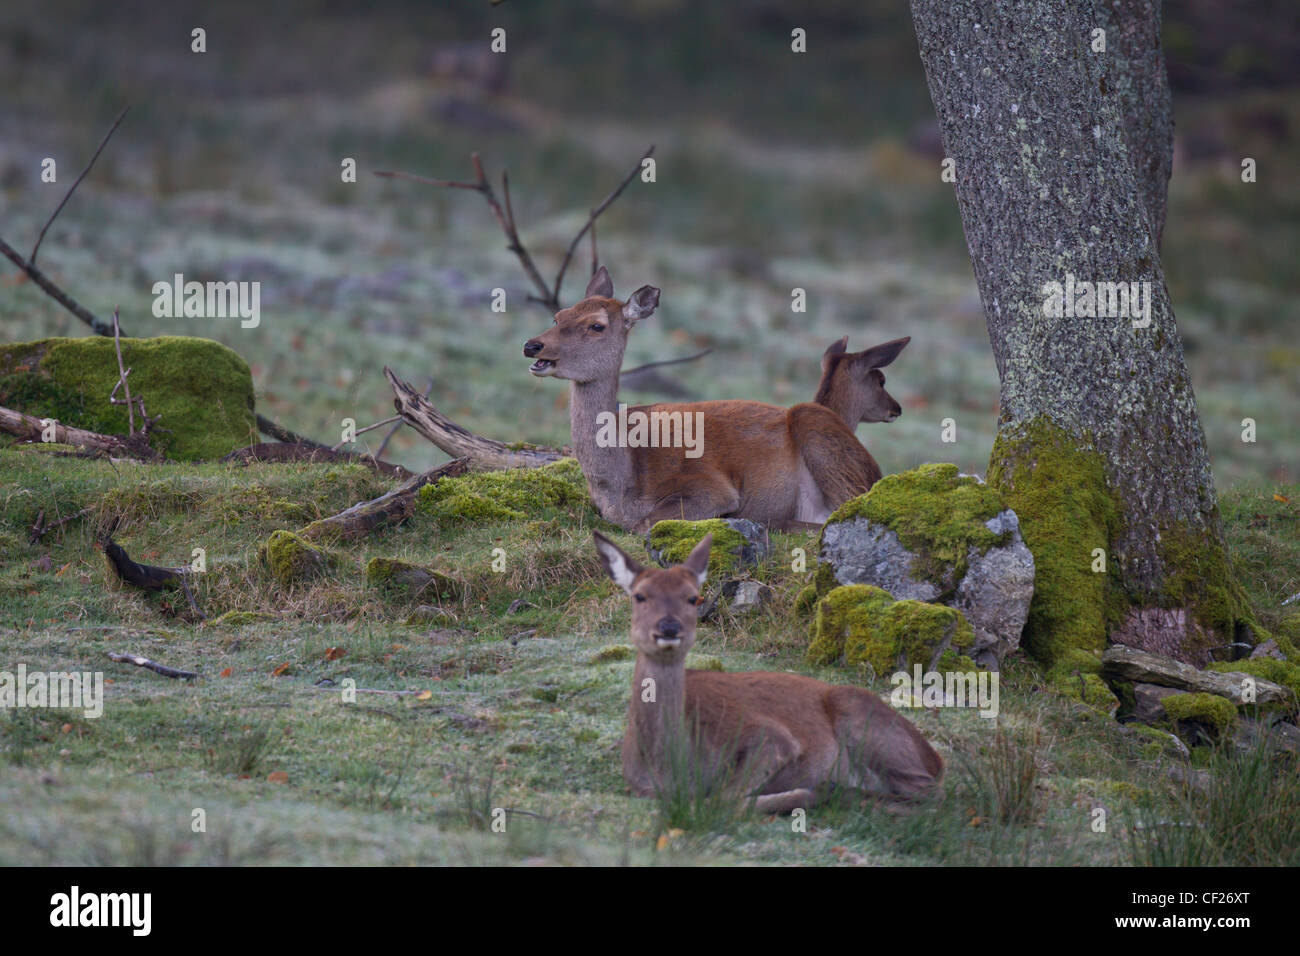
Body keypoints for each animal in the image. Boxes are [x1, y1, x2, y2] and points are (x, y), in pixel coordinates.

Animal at [525, 269, 883, 535]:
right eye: (558, 316)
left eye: (597, 325)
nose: (532, 345)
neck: (620, 483)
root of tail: (875, 469)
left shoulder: (710, 486)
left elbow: (644, 525)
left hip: (820, 433)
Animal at [592, 530, 946, 816]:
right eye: (640, 595)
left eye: (693, 597)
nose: (668, 627)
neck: (667, 765)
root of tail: (935, 759)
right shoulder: (636, 786)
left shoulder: (771, 737)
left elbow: (723, 799)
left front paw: (808, 793)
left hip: (866, 721)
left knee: (932, 796)